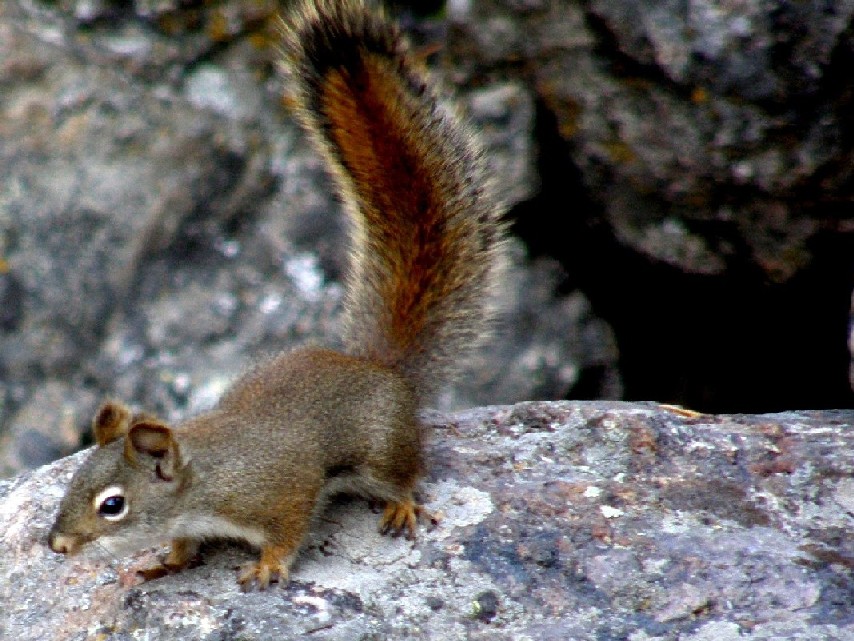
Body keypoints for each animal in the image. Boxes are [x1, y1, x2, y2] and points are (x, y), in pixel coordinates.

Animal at [46, 0, 504, 592]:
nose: (56, 545)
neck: (202, 482)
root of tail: (381, 369)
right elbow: (184, 547)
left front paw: (267, 565)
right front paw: (166, 562)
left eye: (112, 505)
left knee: (406, 475)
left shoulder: (277, 492)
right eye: (73, 480)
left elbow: (288, 529)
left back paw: (401, 505)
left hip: (382, 451)